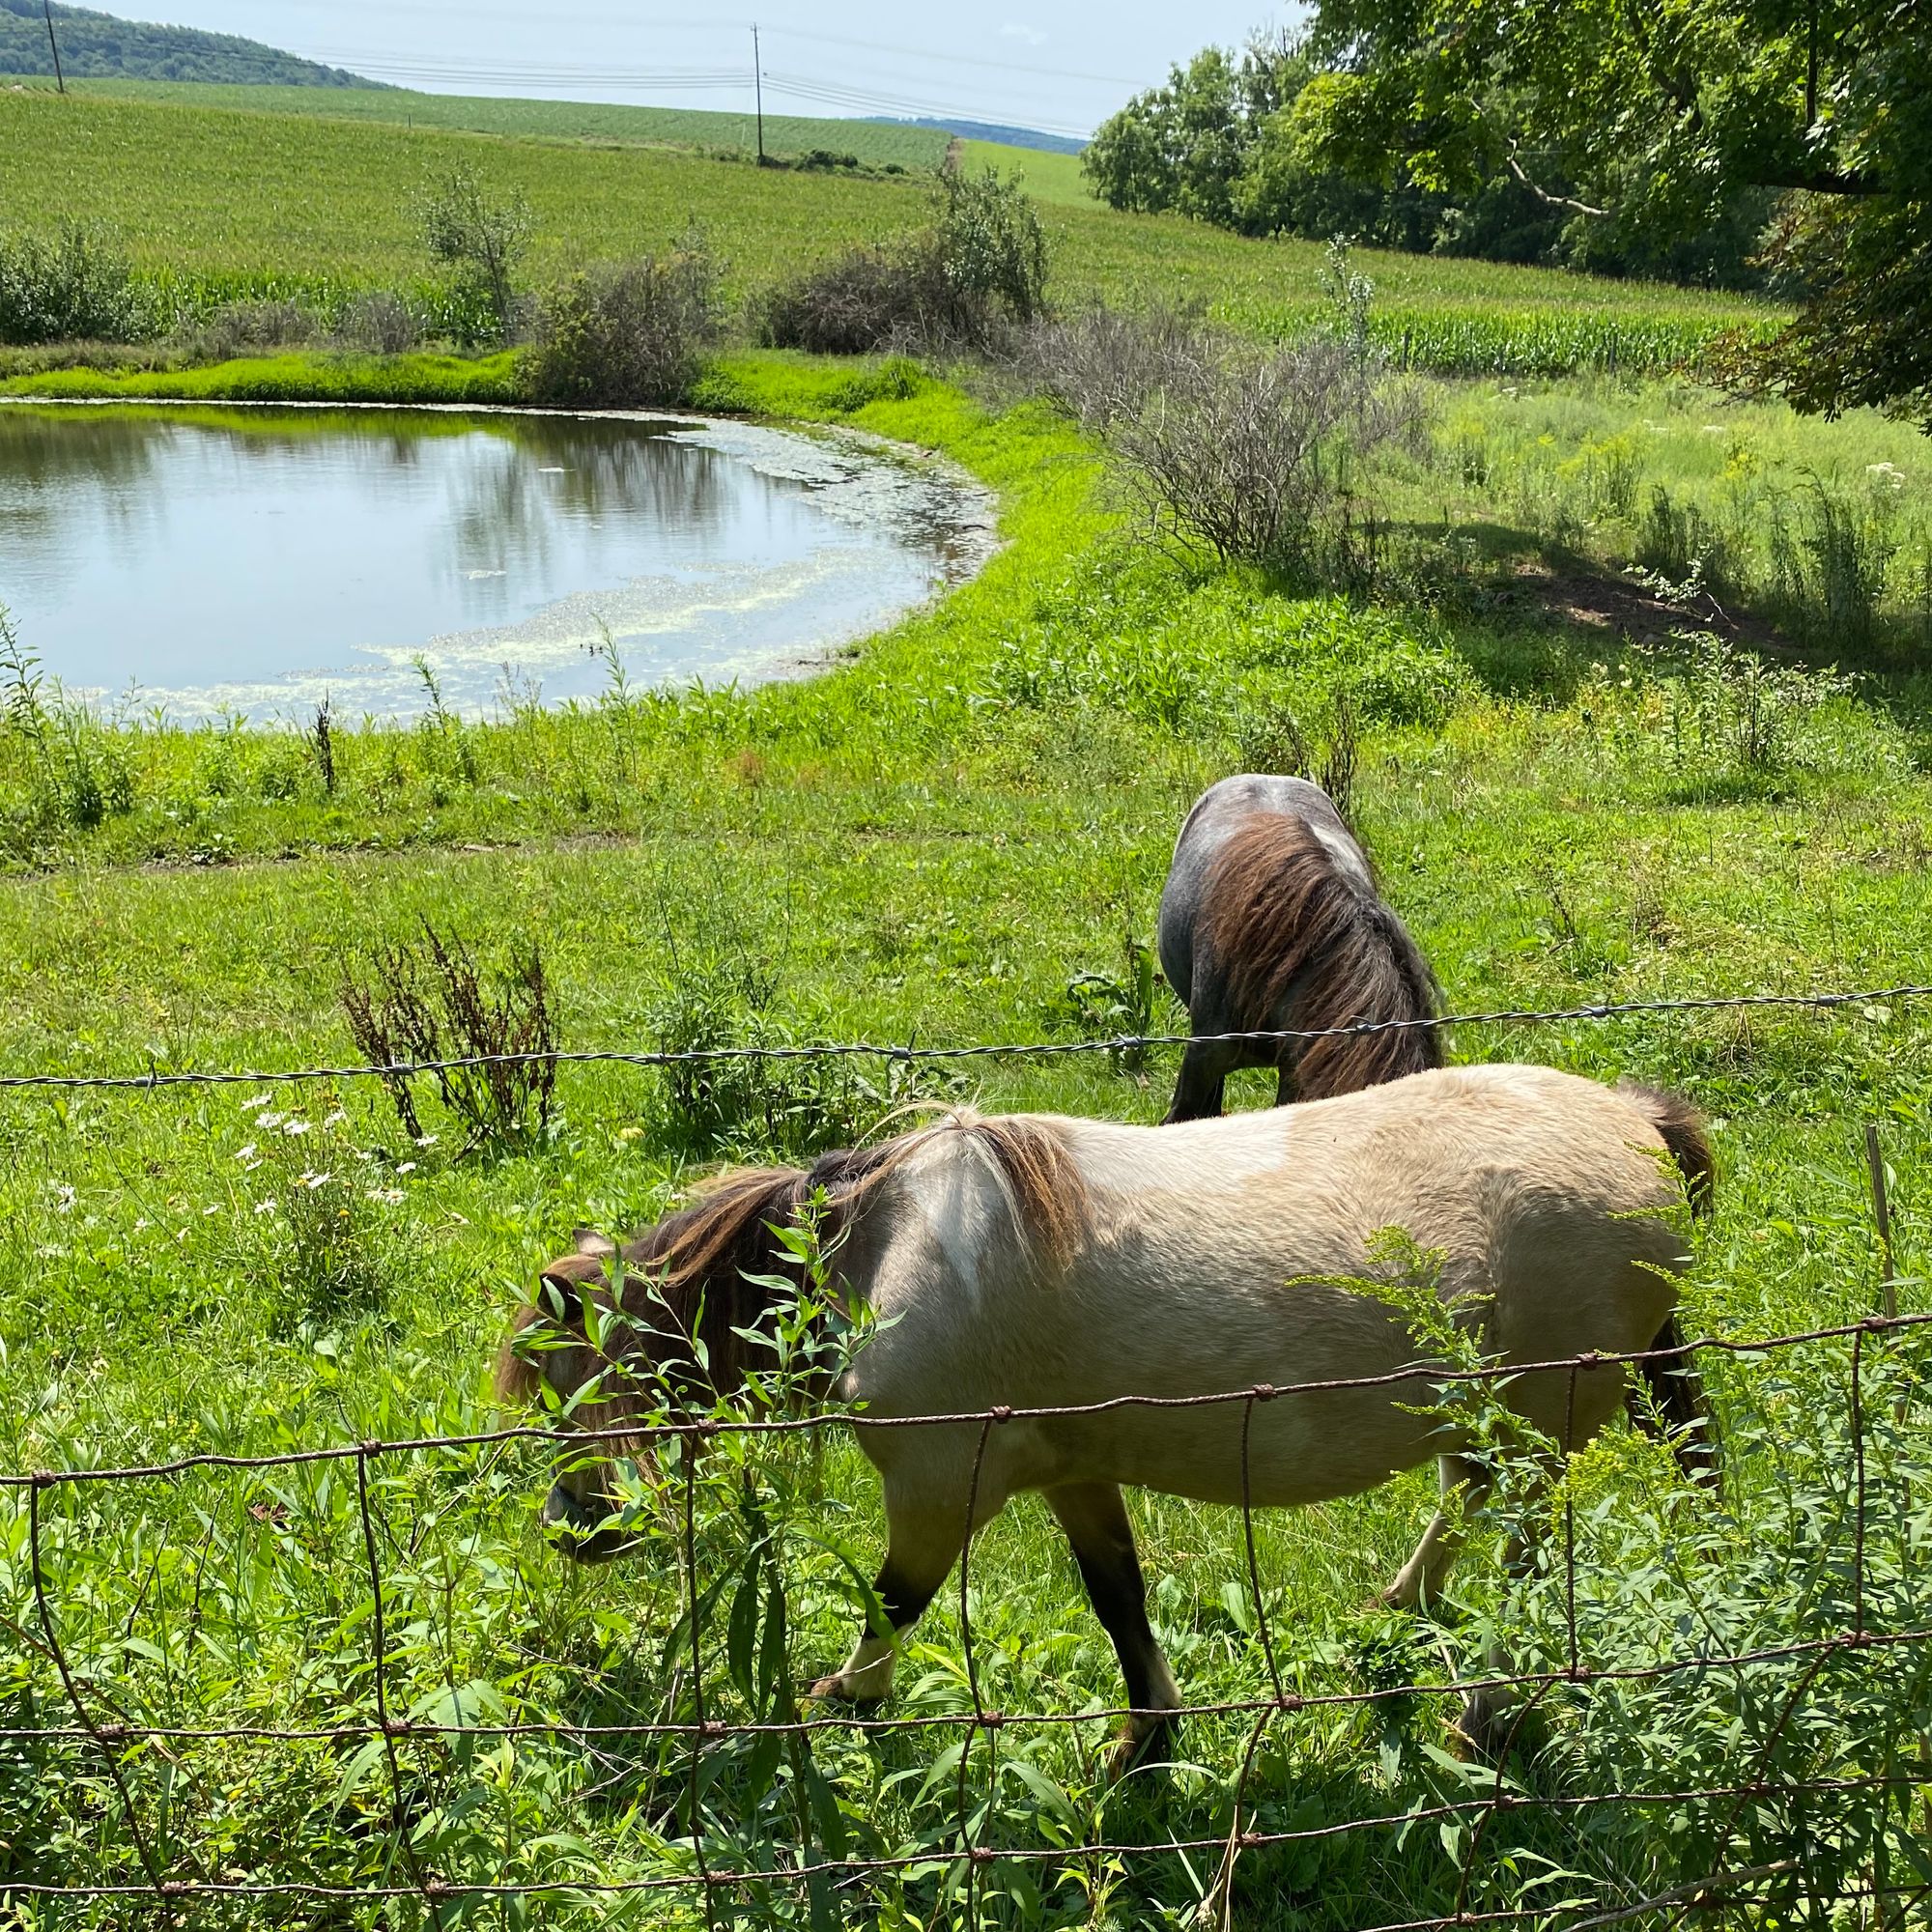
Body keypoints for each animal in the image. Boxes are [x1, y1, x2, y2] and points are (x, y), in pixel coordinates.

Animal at [506, 1074, 1716, 1770]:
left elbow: (892, 1601)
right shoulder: (1064, 1470)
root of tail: (1632, 1115)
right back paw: (1400, 1608)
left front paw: (846, 1699)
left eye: (572, 1389)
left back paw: (1485, 1709)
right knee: (1473, 1504)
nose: (572, 1525)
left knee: (1521, 1548)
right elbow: (1117, 1596)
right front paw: (1148, 1735)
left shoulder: (939, 1487)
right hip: (1491, 1416)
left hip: (1539, 1422)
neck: (879, 1252)